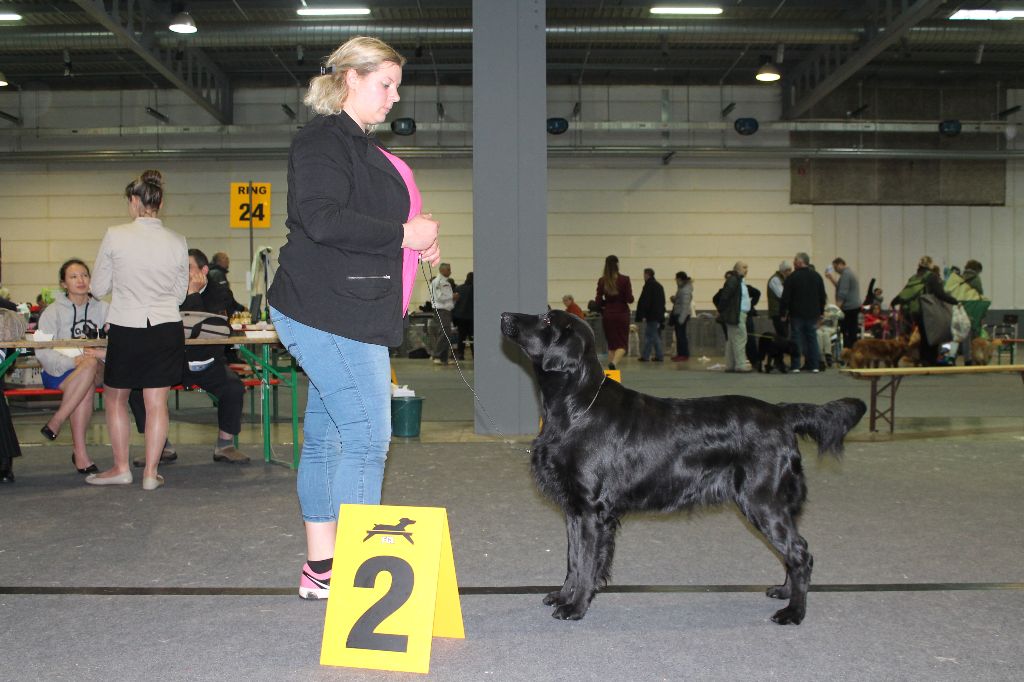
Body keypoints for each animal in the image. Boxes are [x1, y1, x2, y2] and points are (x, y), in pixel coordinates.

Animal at [501, 311, 864, 622]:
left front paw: (576, 607)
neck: (576, 406)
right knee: (792, 552)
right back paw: (785, 592)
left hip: (764, 501)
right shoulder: (574, 510)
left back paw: (794, 612)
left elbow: (587, 562)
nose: (504, 315)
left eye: (547, 320)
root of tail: (781, 412)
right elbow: (573, 559)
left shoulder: (592, 510)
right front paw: (563, 596)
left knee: (801, 553)